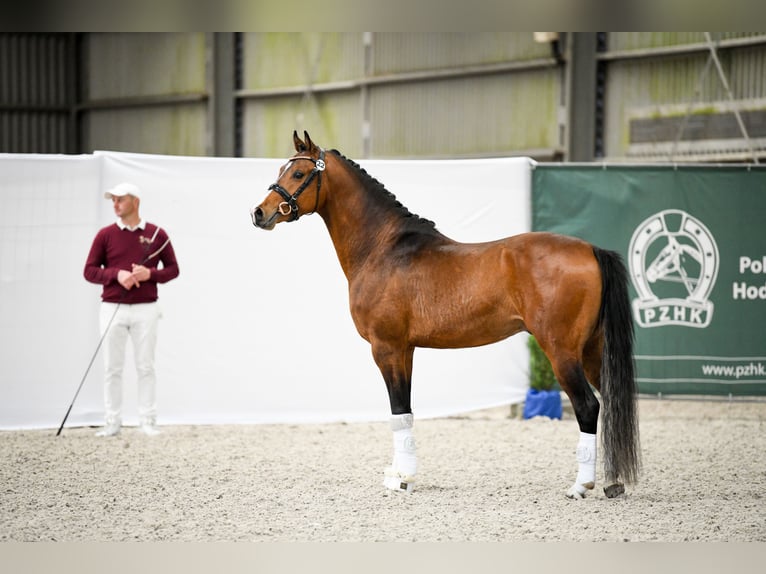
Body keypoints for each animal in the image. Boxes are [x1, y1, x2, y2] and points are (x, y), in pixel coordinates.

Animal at [252, 133, 640, 502]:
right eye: (281, 169)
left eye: (298, 173)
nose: (259, 213)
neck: (383, 249)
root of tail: (591, 249)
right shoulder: (405, 350)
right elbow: (404, 411)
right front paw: (399, 475)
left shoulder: (386, 348)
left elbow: (397, 410)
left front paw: (403, 480)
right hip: (592, 350)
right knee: (612, 404)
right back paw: (614, 483)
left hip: (561, 351)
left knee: (588, 406)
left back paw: (581, 486)